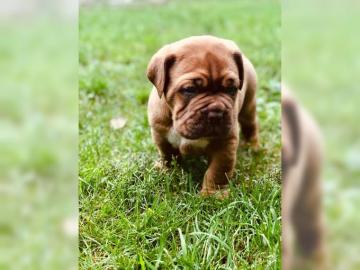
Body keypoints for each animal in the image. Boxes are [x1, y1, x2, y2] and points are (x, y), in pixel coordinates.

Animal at [146, 35, 258, 196]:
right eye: (190, 89)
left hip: (248, 105)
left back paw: (252, 146)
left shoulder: (226, 143)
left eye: (231, 89)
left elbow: (217, 170)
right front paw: (168, 171)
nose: (216, 112)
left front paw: (213, 194)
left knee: (251, 125)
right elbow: (167, 155)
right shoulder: (160, 134)